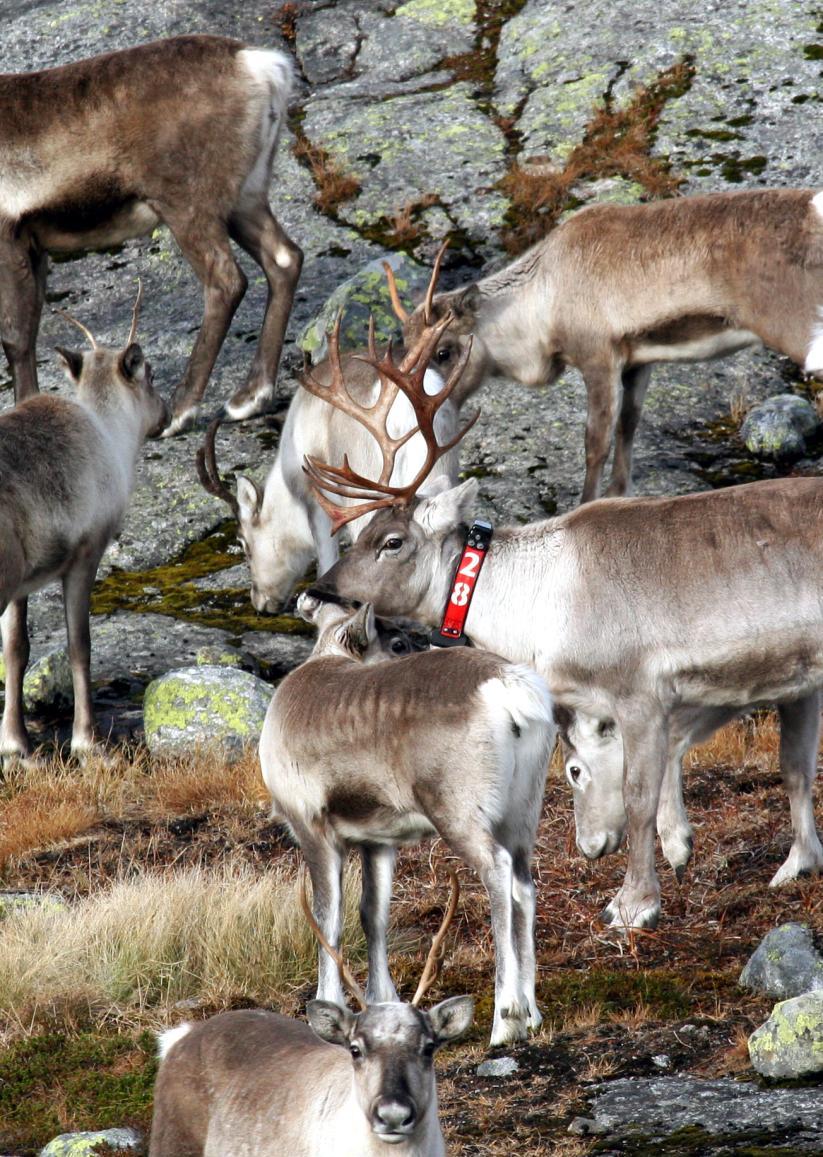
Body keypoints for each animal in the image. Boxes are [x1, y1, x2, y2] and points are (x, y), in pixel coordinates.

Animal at [260, 597, 557, 1050]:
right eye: (398, 643)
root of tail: (509, 686)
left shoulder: (314, 831)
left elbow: (329, 920)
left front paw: (327, 1010)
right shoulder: (377, 841)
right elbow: (373, 914)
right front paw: (381, 1000)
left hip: (459, 814)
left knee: (498, 871)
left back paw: (505, 1020)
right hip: (521, 816)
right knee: (524, 885)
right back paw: (533, 1012)